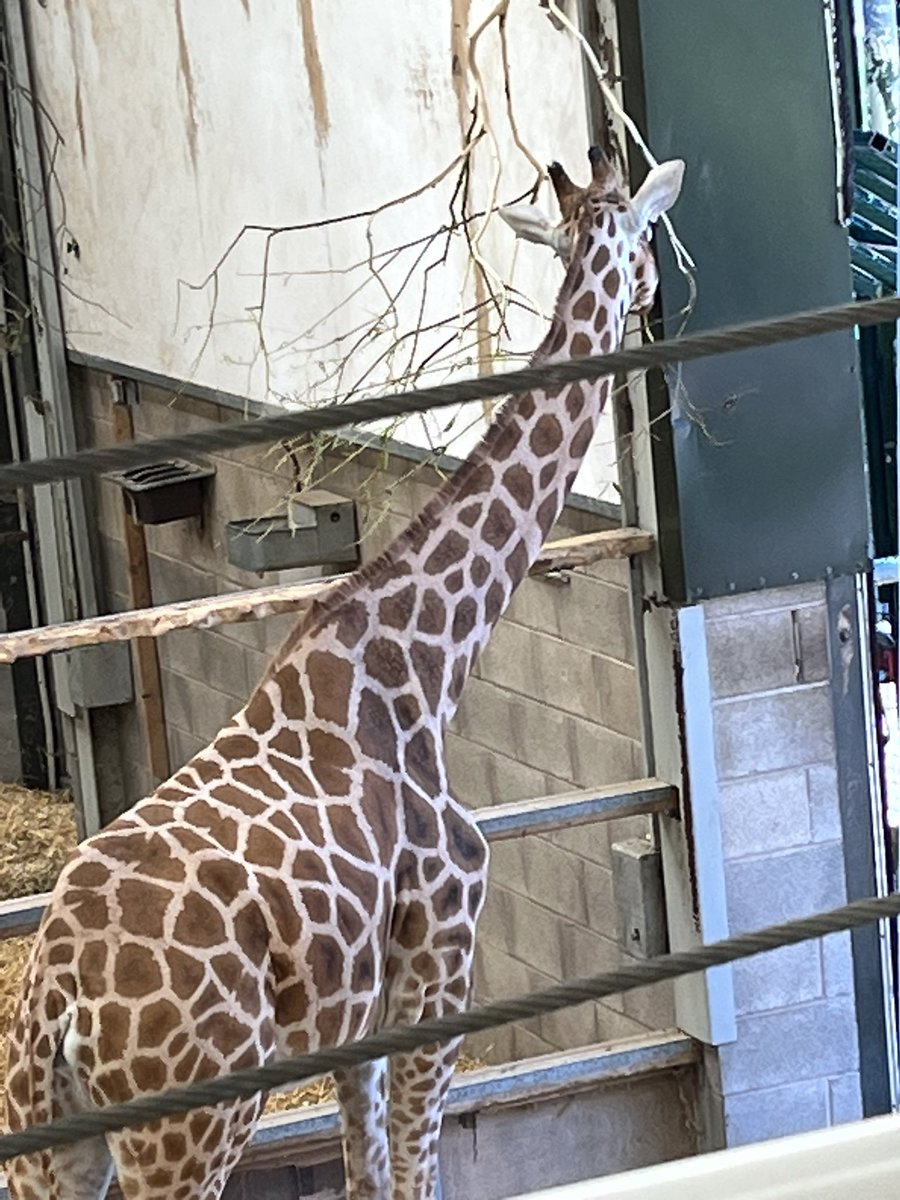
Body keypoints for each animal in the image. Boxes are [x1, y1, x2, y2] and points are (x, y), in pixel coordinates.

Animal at [4, 146, 683, 1200]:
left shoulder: (353, 1018)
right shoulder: (438, 966)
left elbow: (367, 1173)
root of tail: (55, 1002)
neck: (428, 659)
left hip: (53, 1143)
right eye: (647, 232)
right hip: (190, 1126)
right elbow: (415, 1173)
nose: (658, 293)